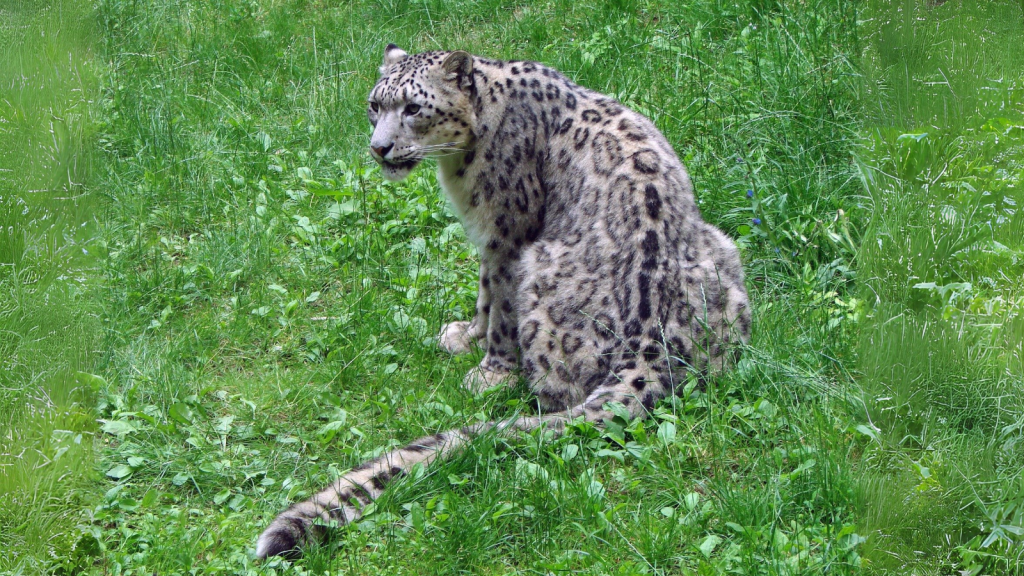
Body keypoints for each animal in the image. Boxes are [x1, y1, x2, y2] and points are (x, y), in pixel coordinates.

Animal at [256, 44, 753, 557]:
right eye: (376, 105)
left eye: (413, 108)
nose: (380, 148)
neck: (459, 165)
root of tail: (650, 348)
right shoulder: (487, 234)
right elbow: (484, 292)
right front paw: (465, 335)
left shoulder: (509, 231)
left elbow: (501, 306)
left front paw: (490, 371)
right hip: (723, 253)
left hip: (542, 272)